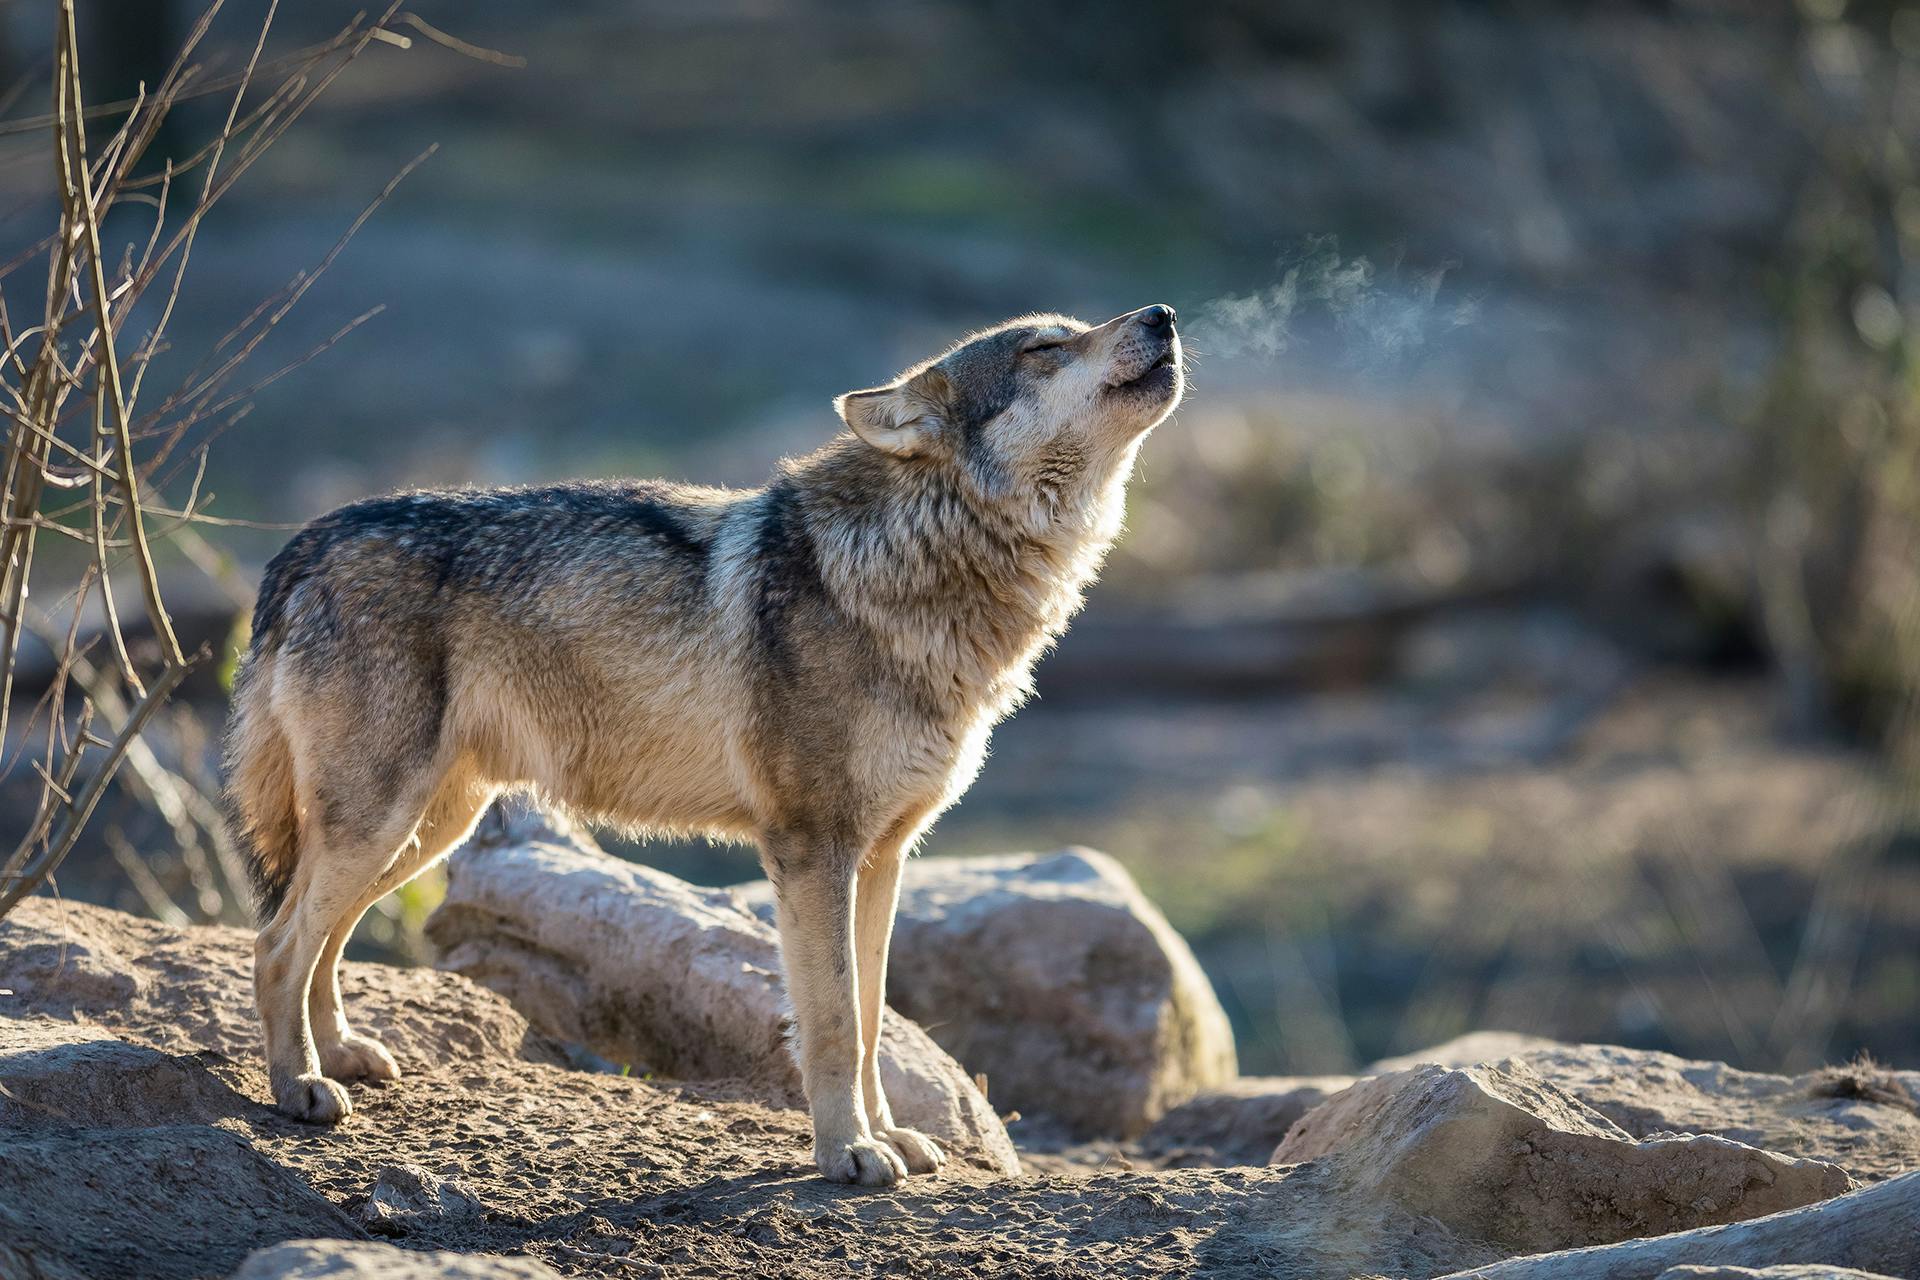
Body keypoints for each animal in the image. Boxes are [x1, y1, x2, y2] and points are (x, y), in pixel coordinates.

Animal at [224, 305, 1182, 1189]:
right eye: (1045, 348)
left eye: (1074, 327)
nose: (1162, 314)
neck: (909, 562)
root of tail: (303, 544)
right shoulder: (811, 850)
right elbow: (835, 1022)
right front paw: (847, 1153)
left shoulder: (884, 856)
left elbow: (873, 1017)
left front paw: (891, 1137)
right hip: (383, 824)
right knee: (276, 944)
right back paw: (298, 1089)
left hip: (424, 830)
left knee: (322, 941)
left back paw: (340, 1057)